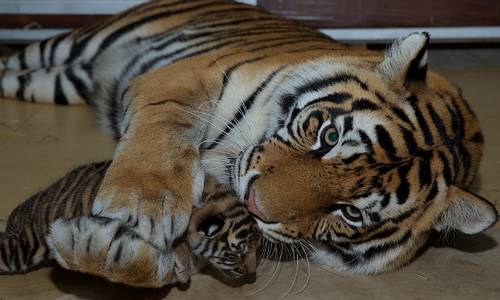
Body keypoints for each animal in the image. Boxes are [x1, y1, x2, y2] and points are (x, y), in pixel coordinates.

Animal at [0, 0, 496, 284]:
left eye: (351, 212)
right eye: (329, 135)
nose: (255, 203)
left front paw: (99, 246)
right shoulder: (183, 76)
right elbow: (163, 133)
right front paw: (138, 206)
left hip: (56, 81)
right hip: (69, 45)